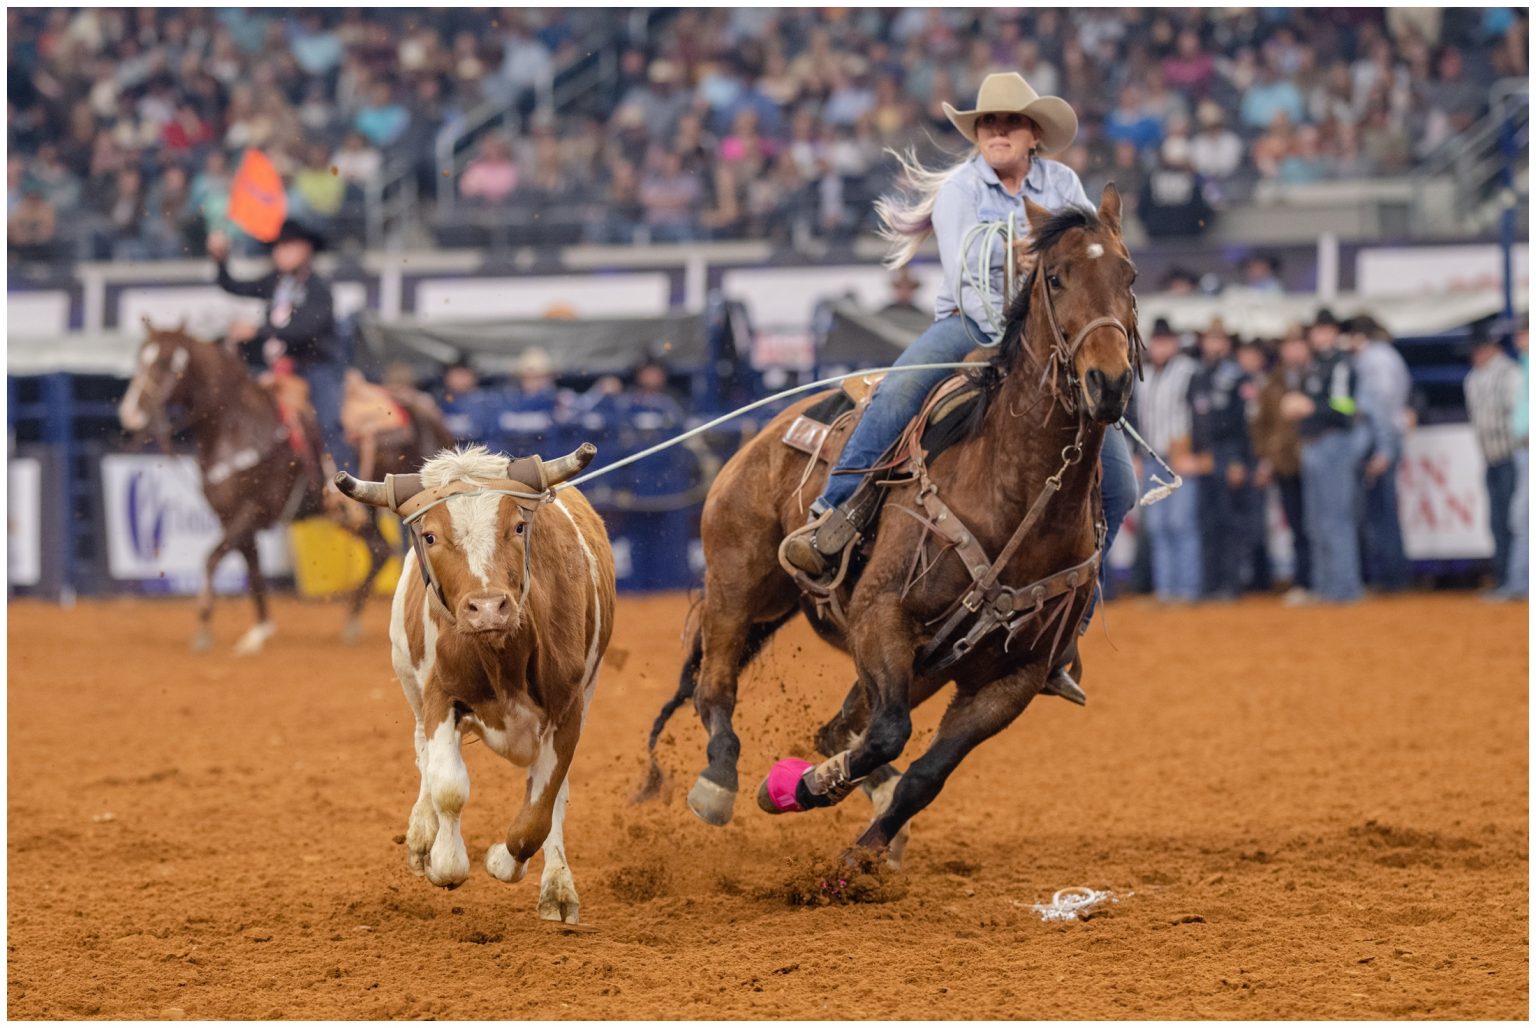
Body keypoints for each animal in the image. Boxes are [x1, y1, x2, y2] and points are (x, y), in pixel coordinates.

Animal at [115, 321, 448, 654]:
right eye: (140, 357)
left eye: (163, 361)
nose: (130, 412)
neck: (239, 426)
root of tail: (422, 410)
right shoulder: (231, 517)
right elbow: (252, 569)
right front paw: (259, 630)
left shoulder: (254, 510)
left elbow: (211, 558)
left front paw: (204, 624)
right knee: (380, 550)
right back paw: (352, 621)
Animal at [645, 188, 1142, 860]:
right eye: (1057, 278)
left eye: (1130, 276)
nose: (1108, 383)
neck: (1013, 494)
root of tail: (767, 434)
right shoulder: (881, 613)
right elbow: (888, 733)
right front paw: (797, 790)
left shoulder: (1014, 677)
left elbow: (926, 771)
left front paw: (862, 851)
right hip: (738, 584)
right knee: (716, 687)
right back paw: (719, 783)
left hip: (914, 660)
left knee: (835, 730)